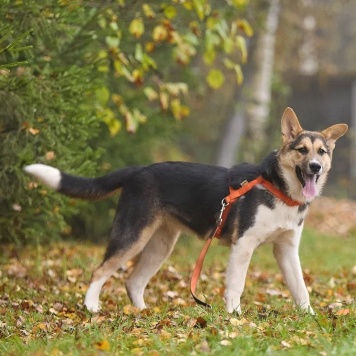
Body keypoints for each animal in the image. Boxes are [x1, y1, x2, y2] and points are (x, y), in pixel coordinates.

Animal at [24, 108, 348, 314]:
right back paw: (91, 306)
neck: (278, 189)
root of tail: (138, 170)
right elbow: (236, 285)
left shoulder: (286, 250)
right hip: (133, 236)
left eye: (322, 152)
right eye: (302, 150)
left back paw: (144, 313)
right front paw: (235, 316)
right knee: (101, 270)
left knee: (133, 281)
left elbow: (301, 288)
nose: (315, 167)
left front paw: (310, 318)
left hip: (161, 244)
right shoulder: (243, 245)